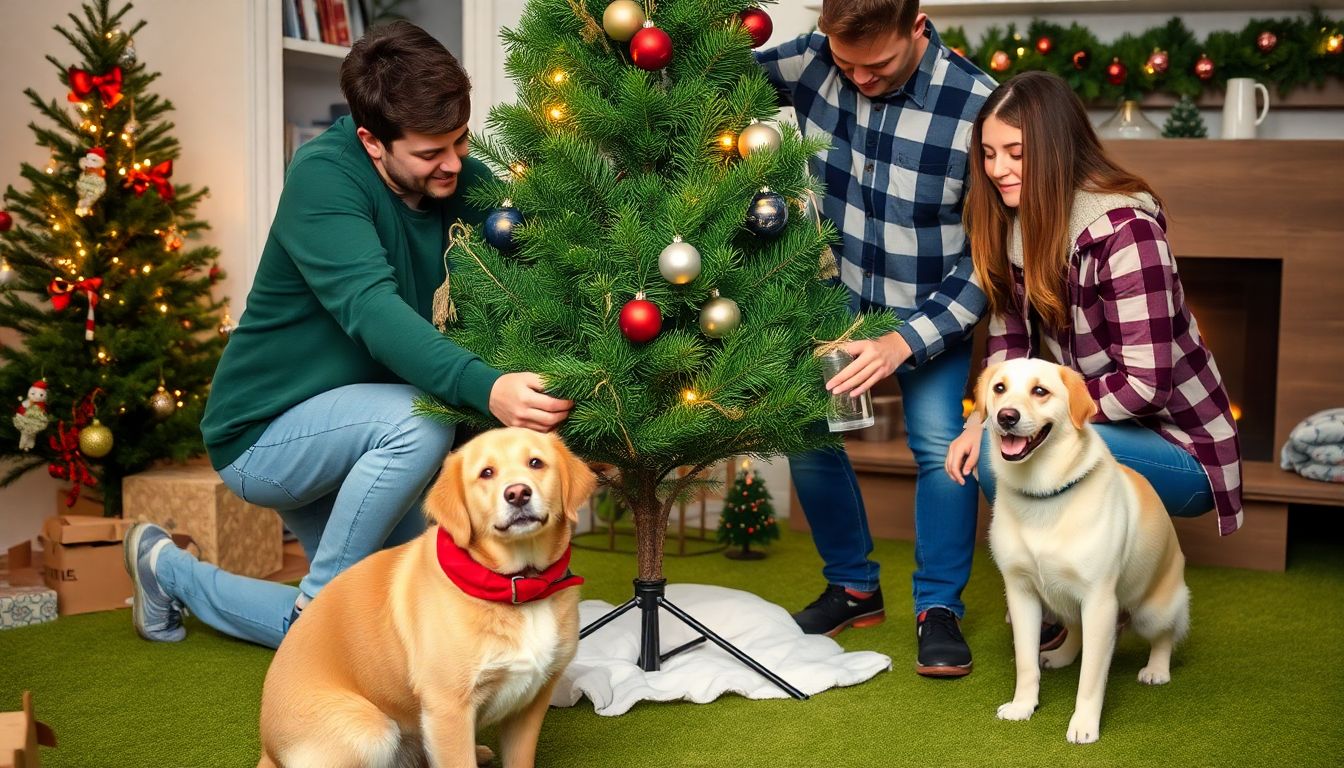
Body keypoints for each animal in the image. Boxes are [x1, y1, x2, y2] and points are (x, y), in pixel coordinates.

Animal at [259, 430, 596, 763]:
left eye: (536, 463)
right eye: (486, 473)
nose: (517, 493)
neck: (521, 587)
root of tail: (268, 750)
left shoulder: (531, 703)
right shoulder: (448, 708)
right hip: (370, 730)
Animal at [978, 360, 1188, 747]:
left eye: (1040, 391)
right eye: (999, 388)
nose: (1006, 416)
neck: (1044, 493)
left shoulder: (1100, 601)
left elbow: (1091, 677)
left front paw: (1084, 724)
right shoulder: (1021, 593)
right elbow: (1026, 662)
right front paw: (1023, 706)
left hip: (1150, 611)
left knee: (1165, 634)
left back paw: (1156, 668)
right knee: (1074, 630)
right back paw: (1061, 655)